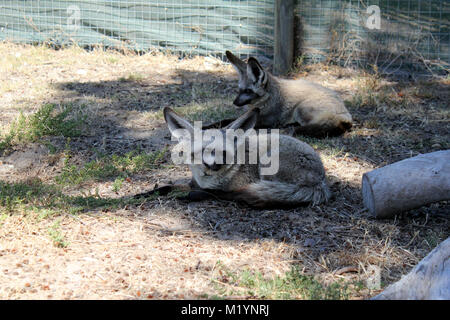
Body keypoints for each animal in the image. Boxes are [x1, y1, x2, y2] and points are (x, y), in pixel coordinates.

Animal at [158, 107, 330, 208]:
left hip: (268, 166)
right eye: (204, 150)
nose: (215, 165)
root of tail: (320, 182)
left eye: (224, 152)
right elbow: (168, 187)